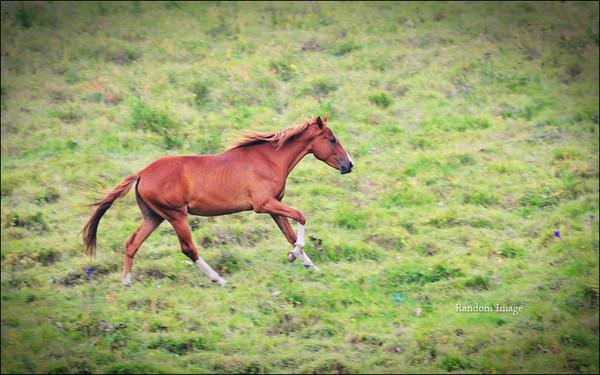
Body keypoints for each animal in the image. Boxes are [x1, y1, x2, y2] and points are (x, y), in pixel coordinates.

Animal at [79, 113, 352, 286]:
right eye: (331, 139)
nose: (349, 165)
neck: (269, 159)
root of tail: (142, 174)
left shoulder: (274, 207)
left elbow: (291, 235)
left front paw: (309, 265)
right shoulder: (264, 205)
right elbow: (301, 217)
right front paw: (296, 256)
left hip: (153, 216)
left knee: (132, 243)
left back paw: (127, 282)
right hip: (176, 215)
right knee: (188, 249)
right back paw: (218, 279)